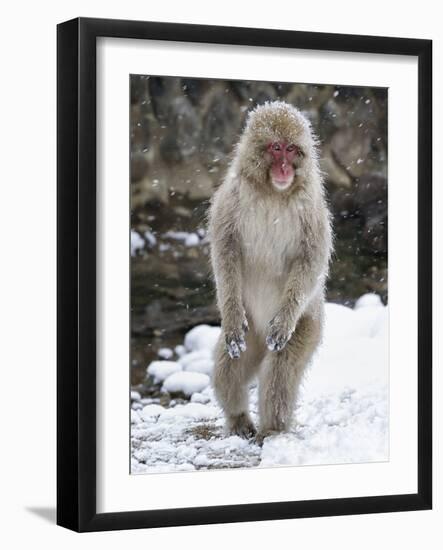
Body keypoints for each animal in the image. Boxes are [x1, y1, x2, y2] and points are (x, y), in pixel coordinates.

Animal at [208, 100, 332, 444]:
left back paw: (274, 429)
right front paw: (230, 315)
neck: (273, 193)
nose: (285, 168)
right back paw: (238, 418)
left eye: (291, 149)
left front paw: (284, 322)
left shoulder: (312, 208)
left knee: (281, 368)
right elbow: (225, 251)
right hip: (250, 332)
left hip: (310, 325)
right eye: (275, 148)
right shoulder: (231, 197)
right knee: (229, 366)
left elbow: (311, 258)